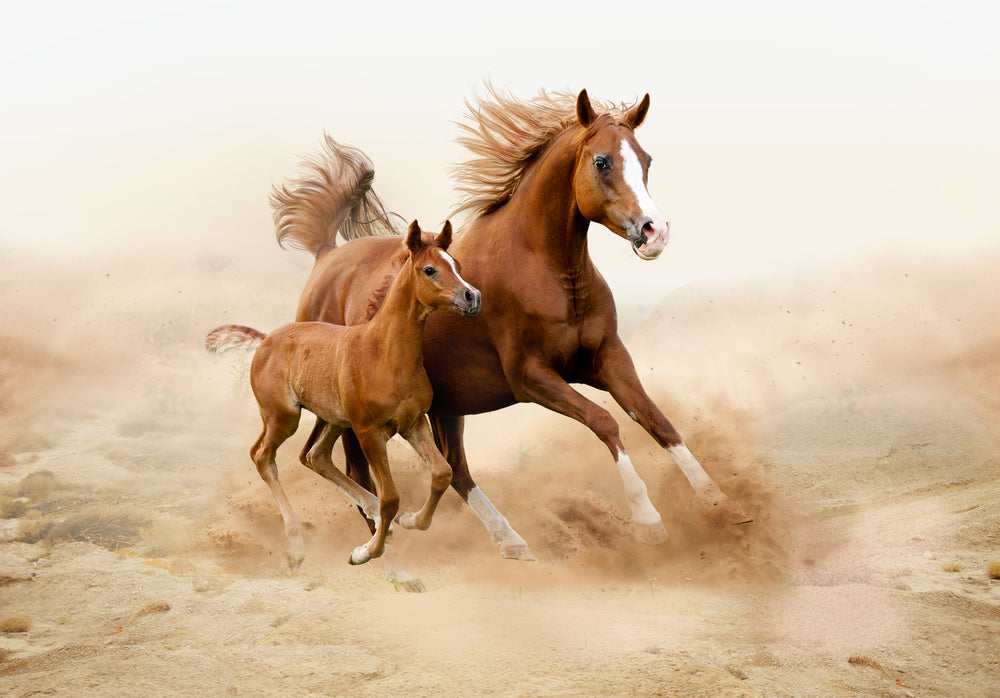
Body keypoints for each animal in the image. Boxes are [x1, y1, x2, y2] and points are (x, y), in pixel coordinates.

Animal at [205, 220, 481, 568]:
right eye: (429, 269)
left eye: (457, 265)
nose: (472, 296)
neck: (384, 354)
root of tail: (266, 338)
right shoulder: (368, 432)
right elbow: (391, 497)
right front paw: (365, 552)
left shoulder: (413, 423)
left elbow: (442, 473)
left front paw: (409, 521)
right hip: (284, 417)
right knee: (263, 456)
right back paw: (296, 545)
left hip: (333, 419)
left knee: (315, 455)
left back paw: (371, 514)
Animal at [271, 85, 752, 571]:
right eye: (602, 161)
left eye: (646, 159)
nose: (655, 232)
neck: (547, 269)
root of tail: (327, 255)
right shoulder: (531, 377)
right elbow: (605, 422)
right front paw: (648, 518)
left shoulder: (608, 359)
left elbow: (657, 420)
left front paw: (723, 504)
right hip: (355, 414)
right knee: (354, 470)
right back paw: (385, 551)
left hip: (446, 404)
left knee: (455, 469)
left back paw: (509, 540)